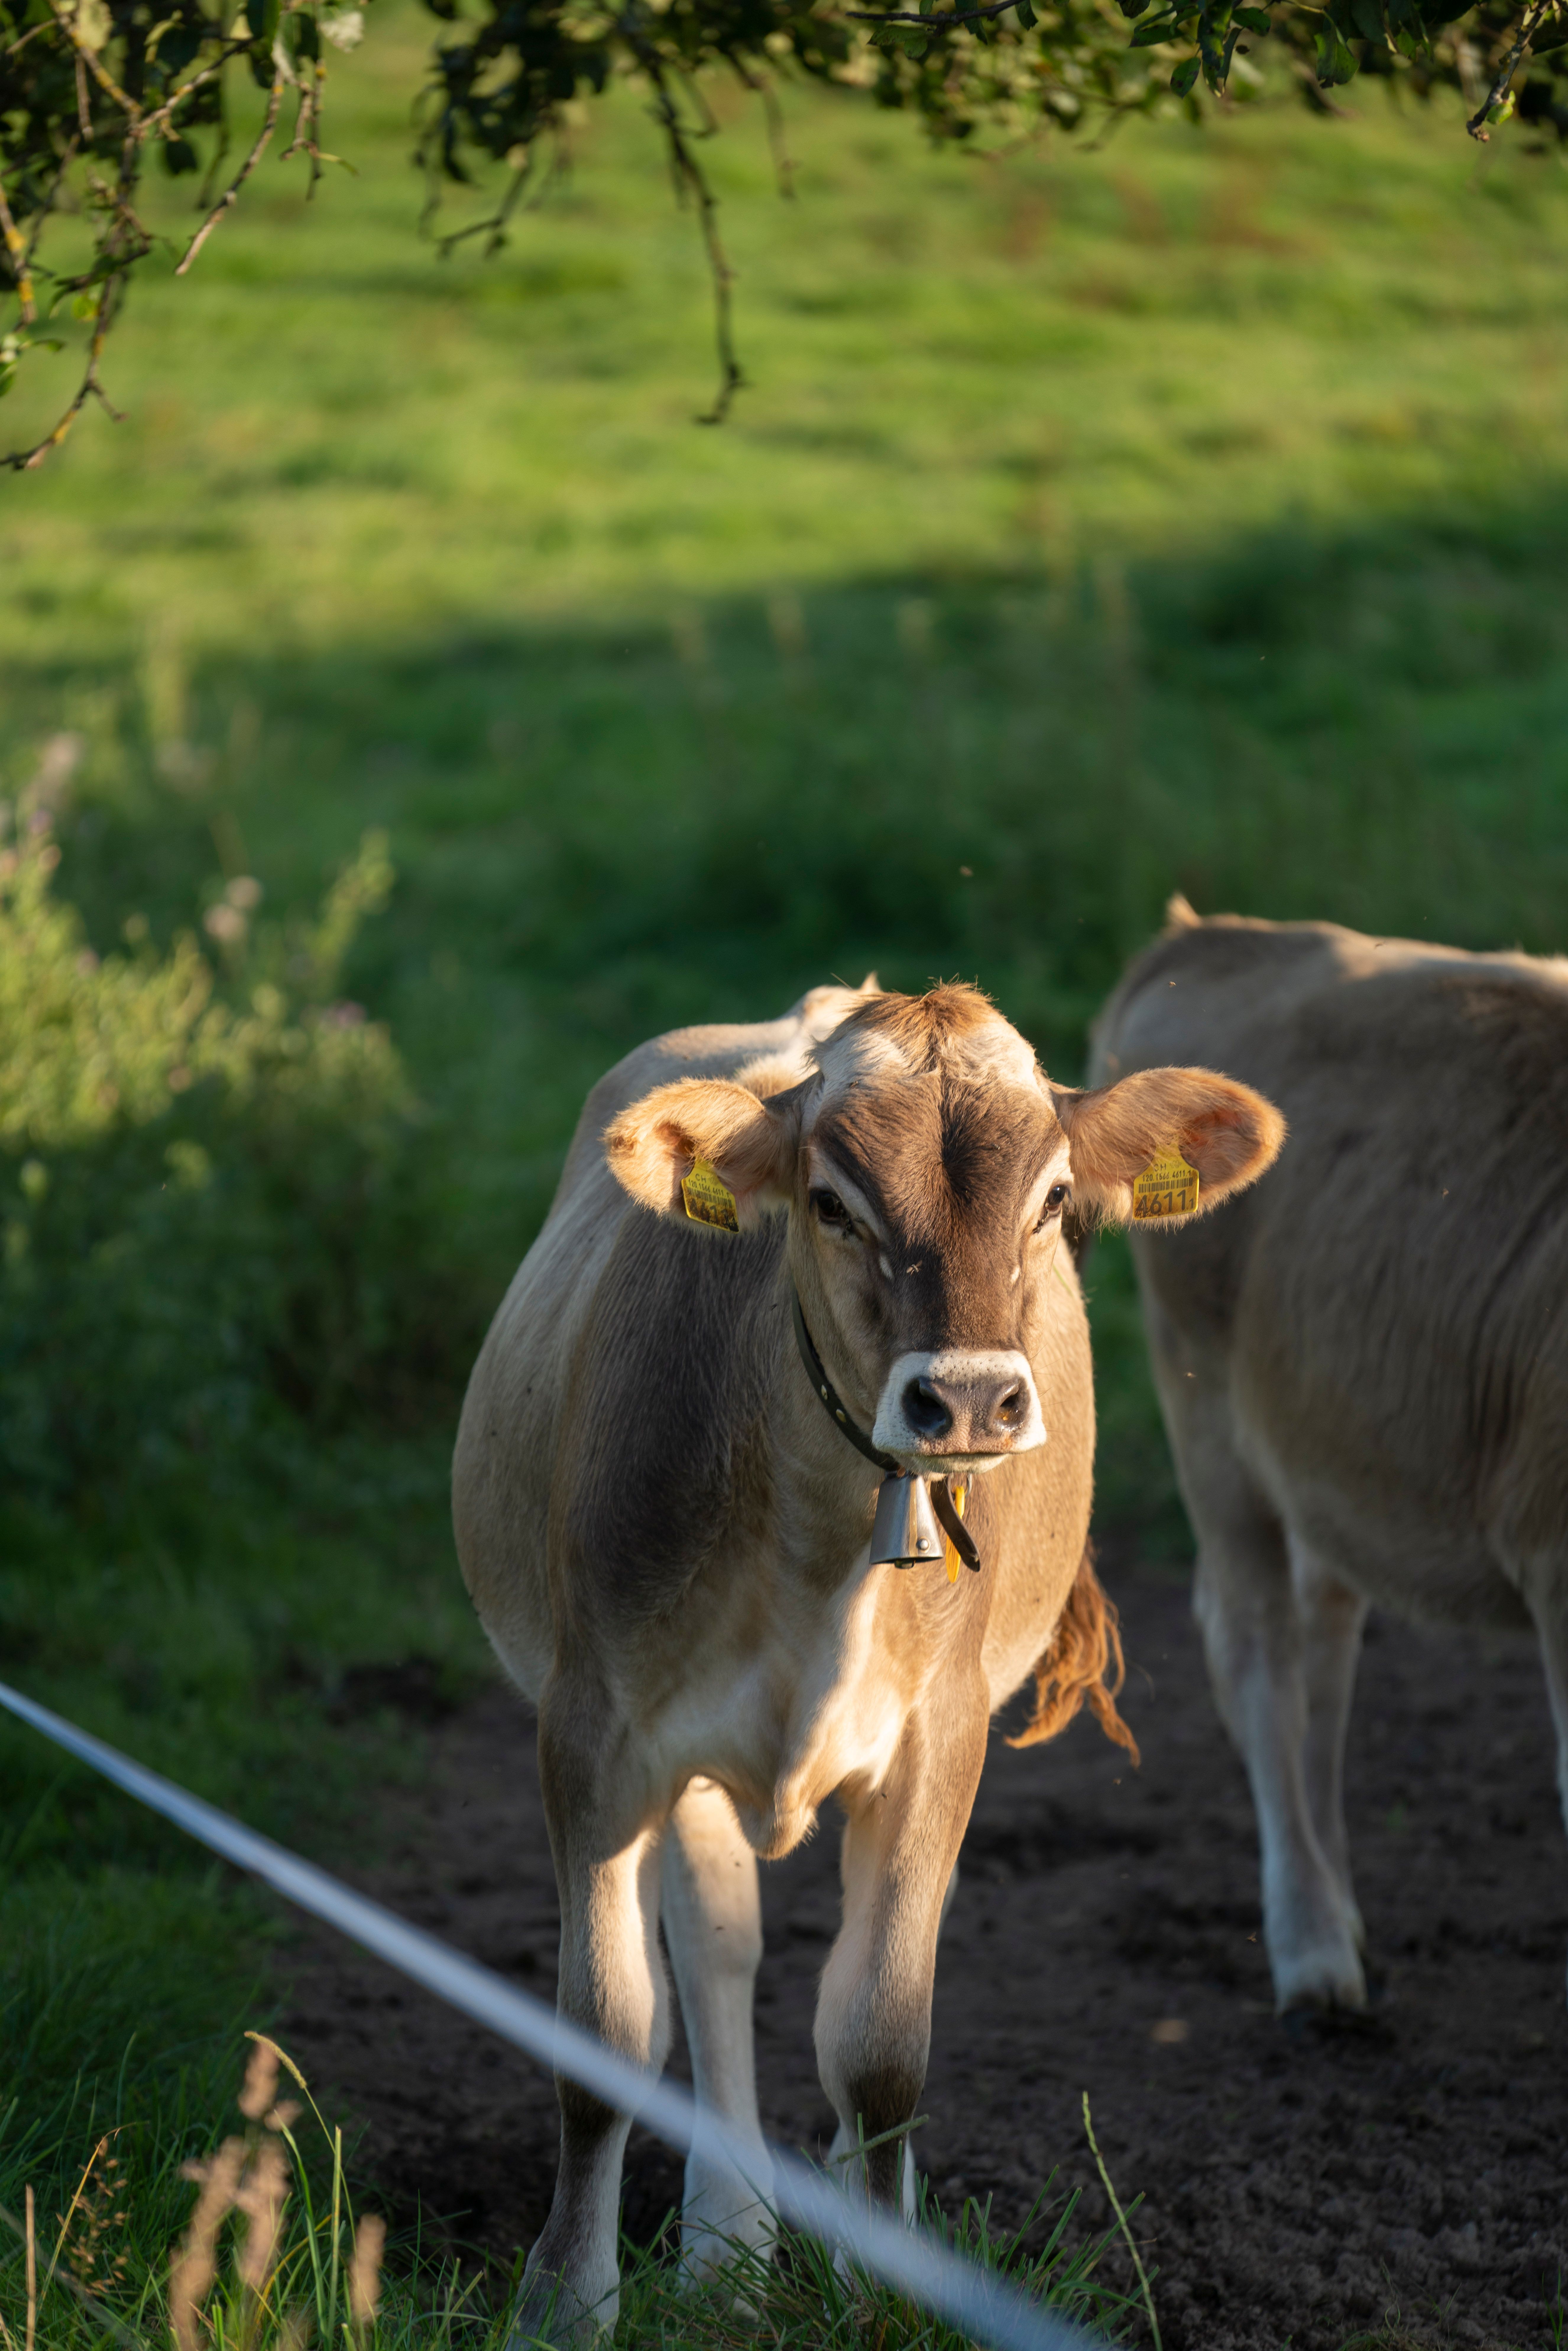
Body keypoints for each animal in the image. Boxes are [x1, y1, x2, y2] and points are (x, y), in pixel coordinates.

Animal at [453, 976, 1283, 2334]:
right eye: (832, 1201)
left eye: (1054, 1197)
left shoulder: (938, 1738)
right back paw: (729, 2237)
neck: (815, 1539)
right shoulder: (594, 1732)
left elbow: (882, 2044)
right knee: (719, 1949)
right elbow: (612, 2032)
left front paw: (890, 2284)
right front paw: (566, 2301)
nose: (971, 1398)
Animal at [1092, 898, 1568, 2016]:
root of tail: (1216, 934)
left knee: (1323, 1638)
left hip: (1321, 1439)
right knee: (1256, 1647)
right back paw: (1309, 1948)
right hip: (1207, 1411)